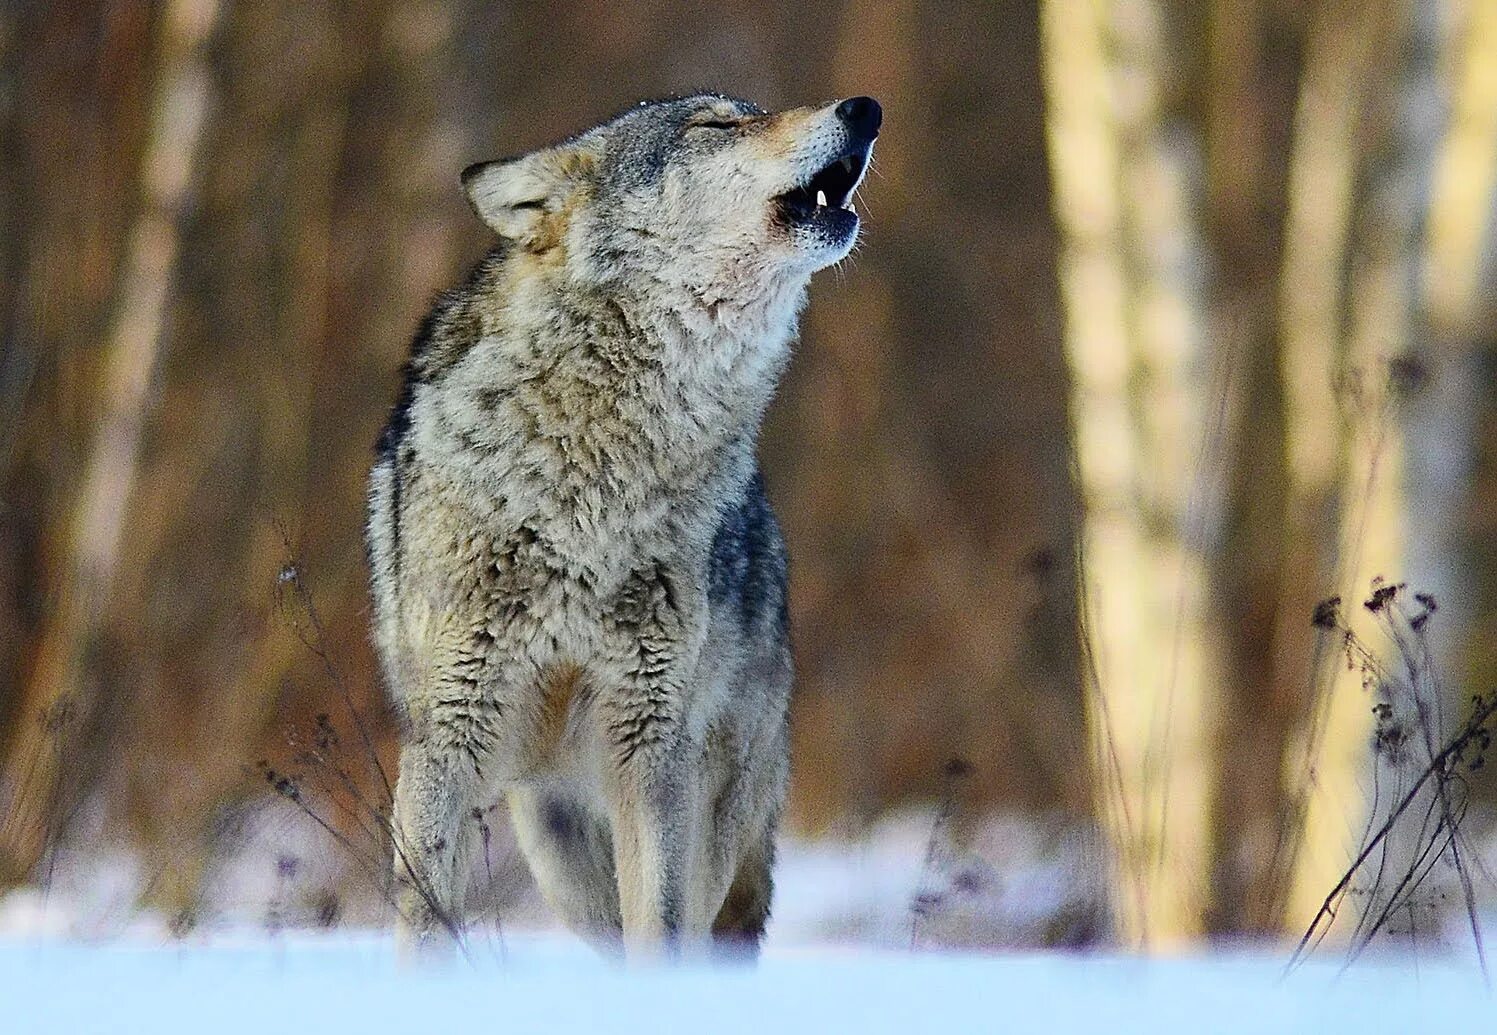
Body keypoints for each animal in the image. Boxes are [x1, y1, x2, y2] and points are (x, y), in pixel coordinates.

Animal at [366, 93, 874, 958]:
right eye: (717, 125)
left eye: (747, 114)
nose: (865, 109)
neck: (595, 487)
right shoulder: (448, 737)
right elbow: (427, 925)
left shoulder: (651, 745)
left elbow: (660, 929)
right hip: (558, 849)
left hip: (711, 812)